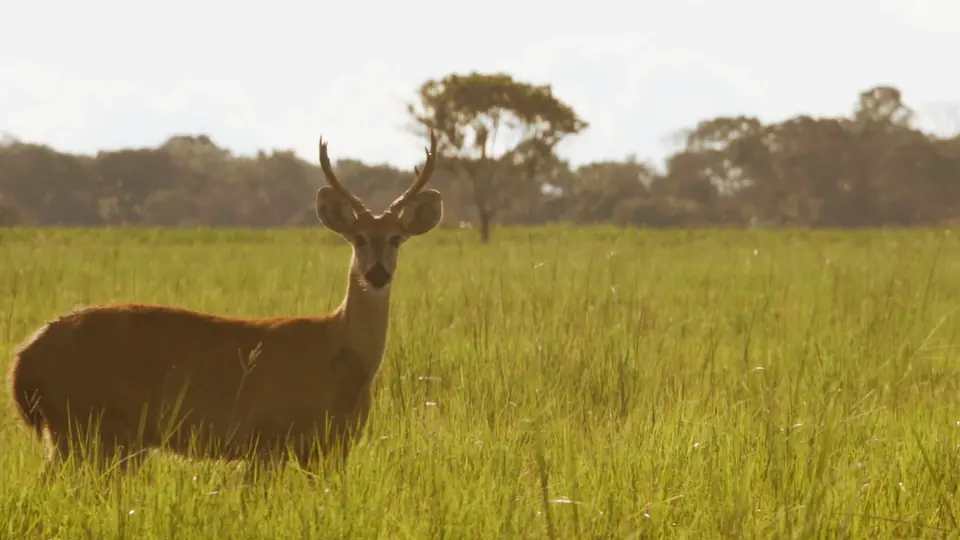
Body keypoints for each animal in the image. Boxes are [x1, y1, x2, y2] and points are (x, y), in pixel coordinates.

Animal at [7, 131, 443, 481]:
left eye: (397, 238)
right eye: (357, 238)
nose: (377, 273)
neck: (340, 358)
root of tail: (23, 362)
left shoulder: (334, 448)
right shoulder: (268, 436)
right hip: (84, 426)